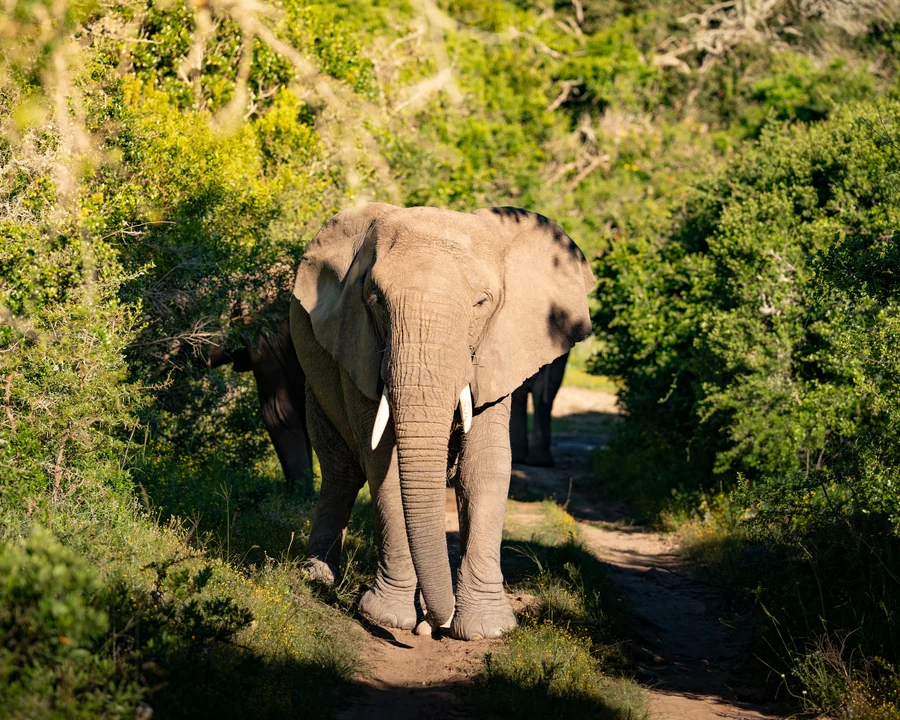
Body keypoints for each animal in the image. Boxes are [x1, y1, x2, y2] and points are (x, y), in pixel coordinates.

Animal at [289, 203, 594, 640]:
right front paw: (389, 619)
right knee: (340, 472)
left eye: (481, 303)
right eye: (376, 300)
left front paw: (486, 630)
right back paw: (317, 577)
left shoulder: (496, 351)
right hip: (315, 379)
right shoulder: (359, 344)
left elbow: (485, 465)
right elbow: (384, 463)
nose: (437, 624)